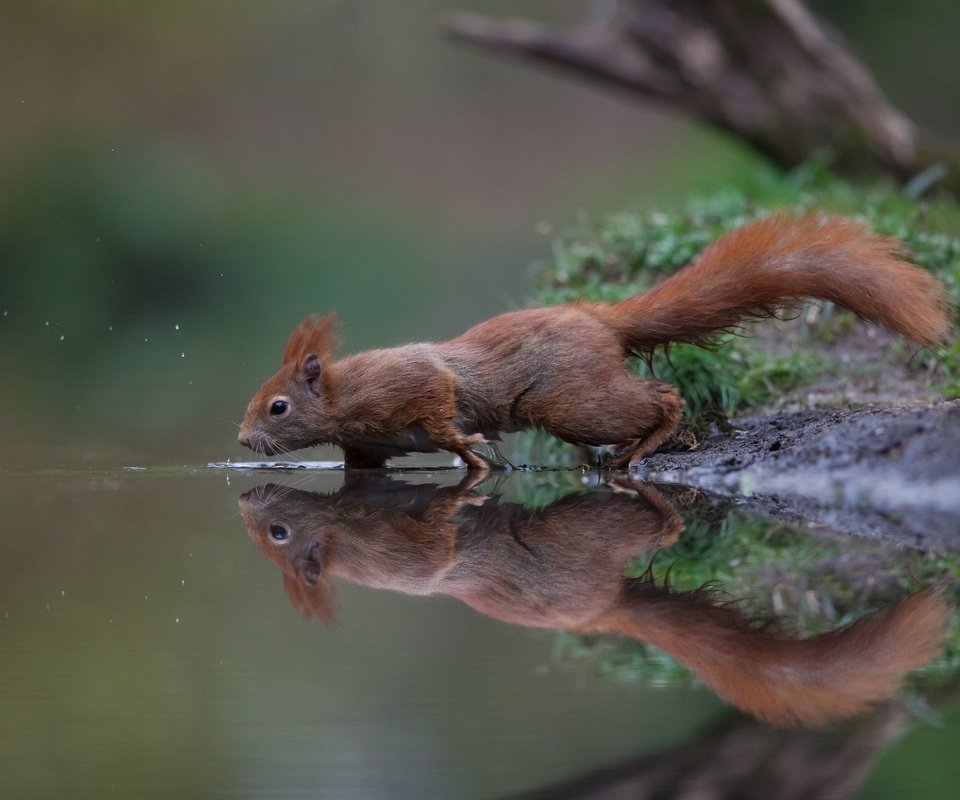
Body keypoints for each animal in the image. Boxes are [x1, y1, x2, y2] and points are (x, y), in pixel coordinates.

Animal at [236, 216, 948, 472]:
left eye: (277, 407)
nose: (242, 443)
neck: (345, 395)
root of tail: (600, 319)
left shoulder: (409, 384)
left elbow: (439, 407)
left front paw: (467, 447)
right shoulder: (367, 444)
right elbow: (364, 470)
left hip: (571, 401)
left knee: (661, 396)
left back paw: (647, 445)